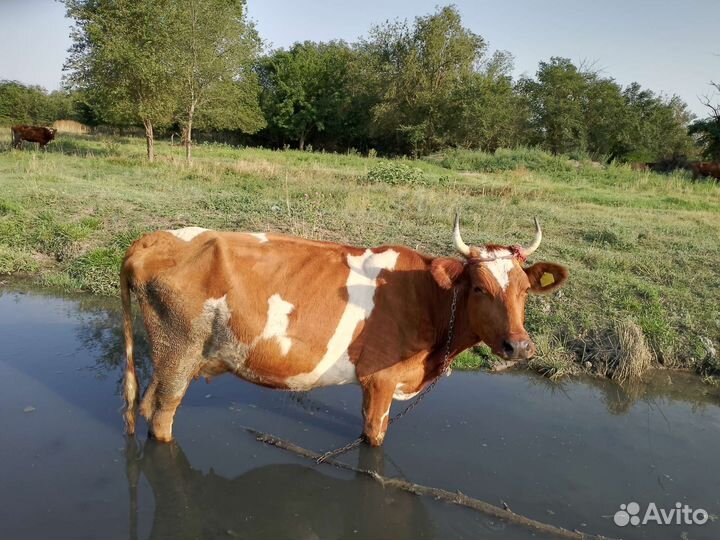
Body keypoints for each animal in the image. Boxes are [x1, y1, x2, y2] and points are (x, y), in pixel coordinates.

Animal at [120, 216, 569, 445]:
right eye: (478, 287)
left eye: (524, 289)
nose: (519, 346)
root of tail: (153, 238)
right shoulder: (381, 381)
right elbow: (374, 437)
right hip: (180, 351)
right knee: (162, 415)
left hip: (168, 354)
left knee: (144, 404)